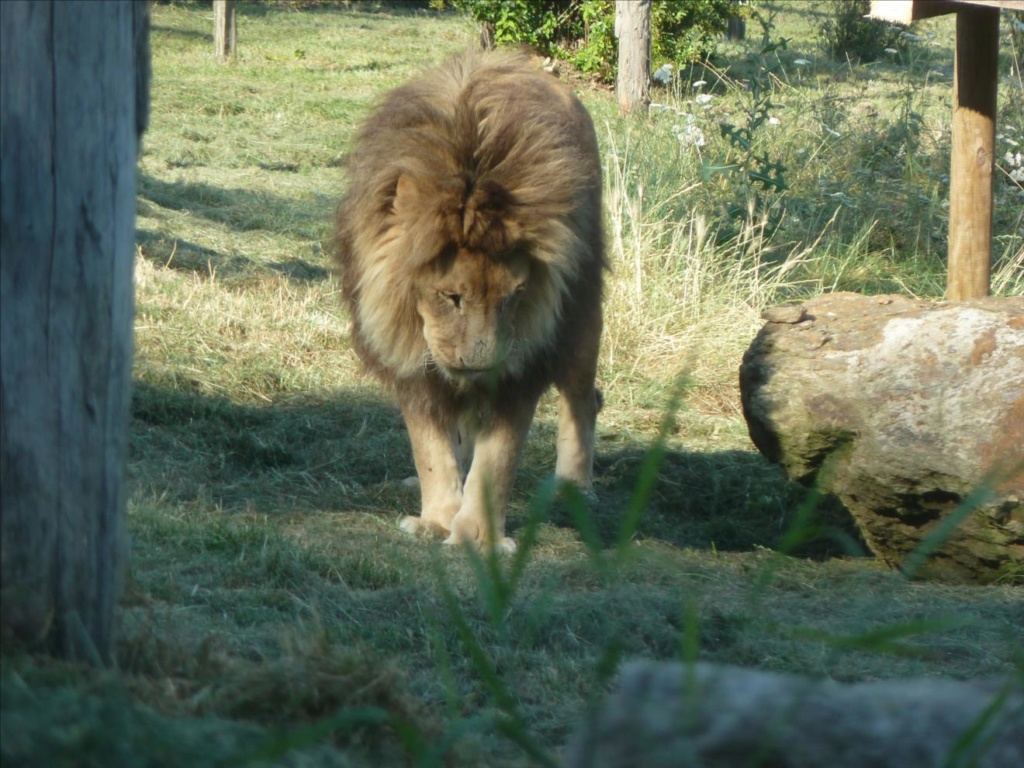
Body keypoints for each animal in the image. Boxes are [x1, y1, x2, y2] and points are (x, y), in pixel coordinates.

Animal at [335, 49, 606, 552]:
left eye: (515, 297)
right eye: (450, 296)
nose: (480, 364)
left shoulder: (521, 365)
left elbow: (498, 458)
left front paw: (477, 537)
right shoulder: (413, 364)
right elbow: (431, 448)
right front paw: (438, 518)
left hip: (582, 321)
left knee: (584, 399)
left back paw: (573, 487)